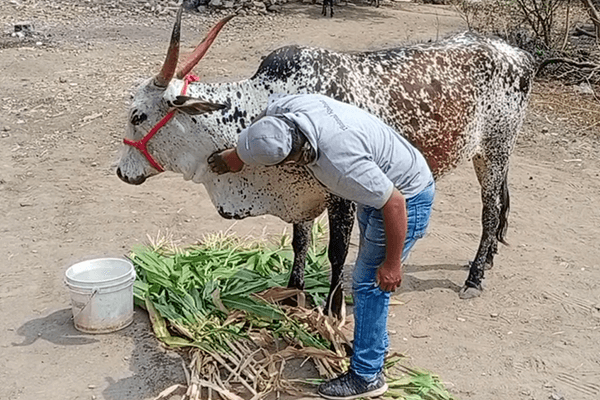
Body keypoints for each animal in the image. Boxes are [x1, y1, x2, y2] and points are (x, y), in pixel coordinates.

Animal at [116, 7, 536, 318]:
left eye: (137, 115)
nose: (121, 172)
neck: (266, 102)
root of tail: (517, 53)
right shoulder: (300, 197)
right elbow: (299, 243)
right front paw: (293, 292)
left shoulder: (342, 197)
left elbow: (336, 253)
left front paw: (333, 310)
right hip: (491, 155)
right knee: (501, 205)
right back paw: (489, 259)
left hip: (495, 149)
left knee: (490, 212)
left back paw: (475, 276)